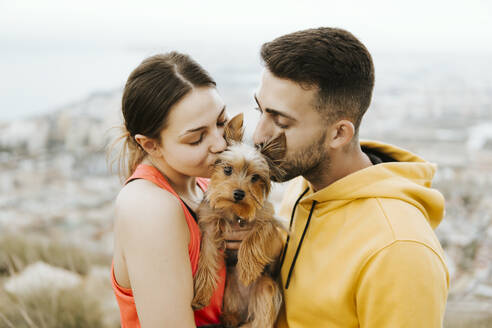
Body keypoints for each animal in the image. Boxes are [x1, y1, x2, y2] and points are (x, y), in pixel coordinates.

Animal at [192, 113, 284, 328]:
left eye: (255, 177)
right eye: (227, 170)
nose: (239, 193)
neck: (233, 211)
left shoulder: (267, 217)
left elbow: (256, 236)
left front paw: (248, 270)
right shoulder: (210, 226)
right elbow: (207, 257)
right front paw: (201, 295)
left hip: (266, 286)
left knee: (261, 317)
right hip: (230, 293)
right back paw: (229, 319)